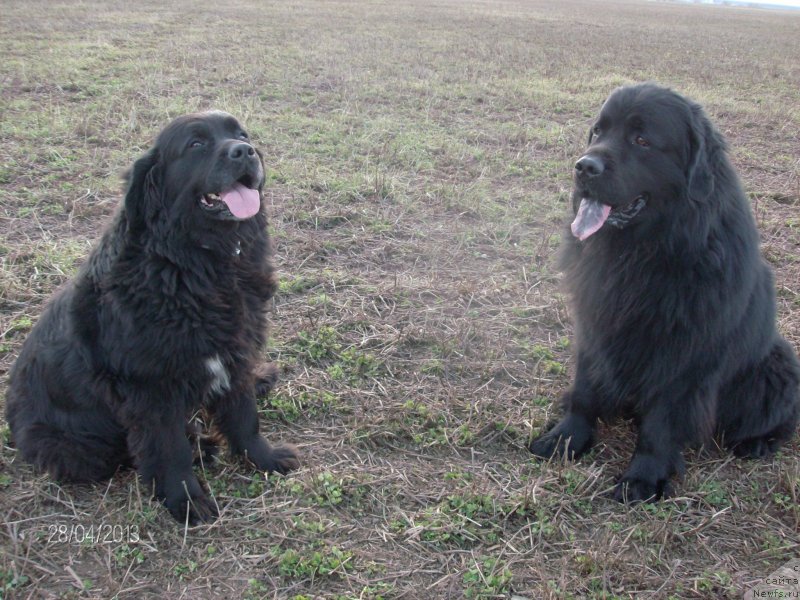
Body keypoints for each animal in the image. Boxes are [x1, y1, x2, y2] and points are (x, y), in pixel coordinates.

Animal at [5, 110, 300, 524]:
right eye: (196, 144)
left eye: (241, 135)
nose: (245, 152)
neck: (198, 263)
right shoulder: (150, 388)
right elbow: (168, 447)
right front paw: (186, 500)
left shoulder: (236, 352)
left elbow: (244, 417)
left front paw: (265, 458)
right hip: (73, 448)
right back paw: (201, 449)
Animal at [532, 81, 800, 502]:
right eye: (598, 132)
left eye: (642, 140)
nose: (584, 166)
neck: (647, 251)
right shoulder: (596, 323)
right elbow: (585, 389)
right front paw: (566, 438)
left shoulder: (684, 351)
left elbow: (661, 421)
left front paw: (643, 477)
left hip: (778, 364)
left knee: (782, 418)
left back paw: (757, 442)